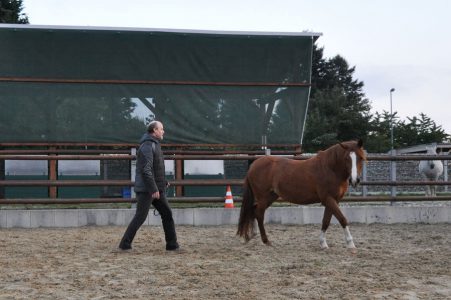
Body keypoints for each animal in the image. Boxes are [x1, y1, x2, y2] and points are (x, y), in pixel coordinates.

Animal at [238, 139, 366, 250]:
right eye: (346, 158)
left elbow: (326, 221)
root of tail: (253, 165)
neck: (330, 169)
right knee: (259, 213)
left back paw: (252, 235)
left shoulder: (334, 200)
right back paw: (265, 240)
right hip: (263, 197)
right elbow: (342, 219)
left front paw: (323, 243)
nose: (355, 180)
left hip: (270, 196)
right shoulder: (328, 199)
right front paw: (350, 244)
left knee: (254, 211)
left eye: (360, 158)